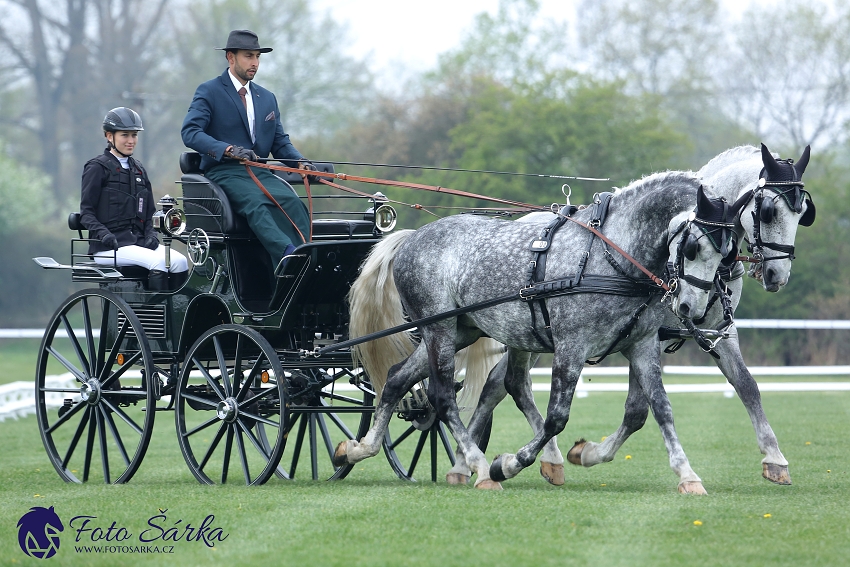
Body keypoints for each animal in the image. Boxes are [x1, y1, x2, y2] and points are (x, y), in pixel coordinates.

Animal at [338, 171, 736, 490]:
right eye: (693, 246)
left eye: (729, 252)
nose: (692, 309)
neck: (610, 258)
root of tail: (411, 237)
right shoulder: (571, 345)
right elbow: (557, 417)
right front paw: (508, 465)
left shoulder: (641, 344)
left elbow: (661, 409)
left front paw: (688, 476)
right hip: (439, 329)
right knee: (442, 396)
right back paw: (479, 466)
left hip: (459, 330)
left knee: (396, 379)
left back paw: (359, 449)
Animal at [450, 143, 816, 492]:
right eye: (768, 211)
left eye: (802, 214)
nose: (776, 274)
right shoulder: (649, 336)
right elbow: (638, 410)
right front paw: (589, 452)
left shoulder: (714, 333)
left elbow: (747, 386)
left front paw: (774, 459)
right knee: (503, 384)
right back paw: (472, 464)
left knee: (502, 383)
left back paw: (494, 462)